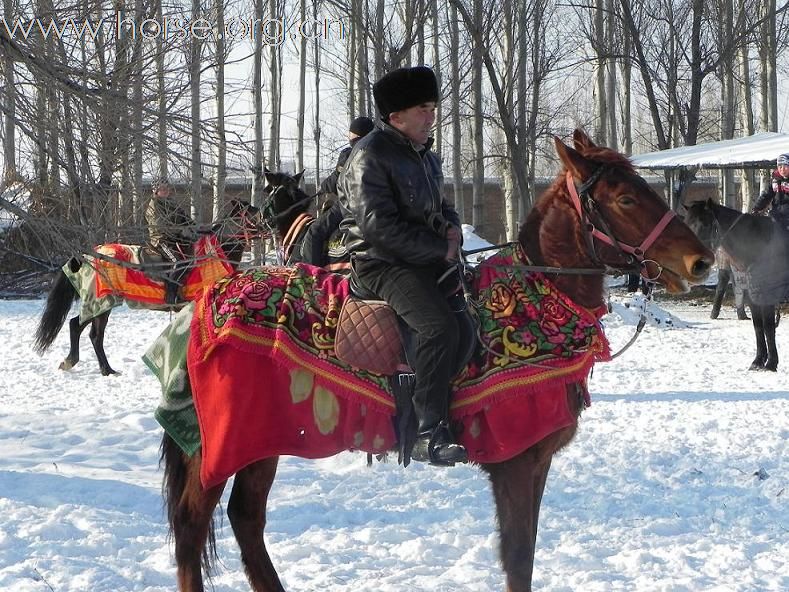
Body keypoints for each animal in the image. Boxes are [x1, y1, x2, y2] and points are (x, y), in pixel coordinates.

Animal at [33, 199, 264, 374]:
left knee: (91, 334)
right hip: (100, 304)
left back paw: (102, 369)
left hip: (103, 306)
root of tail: (87, 256)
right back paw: (90, 366)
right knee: (81, 328)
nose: (267, 225)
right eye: (252, 213)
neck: (216, 253)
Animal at [160, 131, 716, 592]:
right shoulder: (516, 464)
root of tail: (200, 308)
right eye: (625, 198)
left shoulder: (534, 464)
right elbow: (518, 560)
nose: (702, 262)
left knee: (245, 520)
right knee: (192, 526)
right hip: (221, 445)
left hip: (262, 443)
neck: (539, 300)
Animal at [684, 201, 780, 372]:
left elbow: (769, 327)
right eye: (687, 224)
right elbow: (758, 326)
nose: (696, 263)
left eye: (706, 224)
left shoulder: (767, 295)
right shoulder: (752, 297)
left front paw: (771, 364)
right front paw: (758, 361)